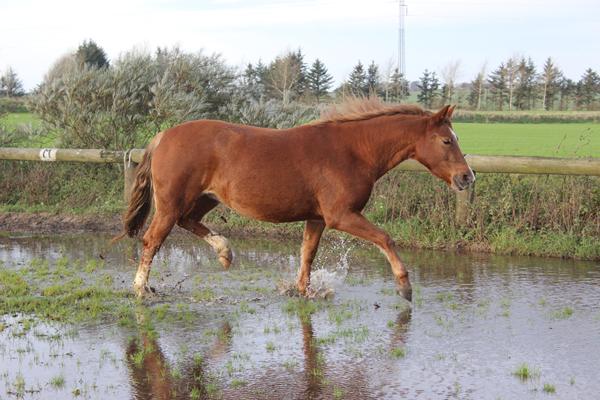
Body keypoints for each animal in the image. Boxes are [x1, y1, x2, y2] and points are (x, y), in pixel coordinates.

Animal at [115, 98, 476, 302]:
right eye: (446, 140)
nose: (467, 177)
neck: (354, 151)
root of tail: (162, 136)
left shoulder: (316, 218)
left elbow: (307, 255)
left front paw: (303, 291)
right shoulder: (341, 215)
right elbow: (385, 238)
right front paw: (404, 287)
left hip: (206, 198)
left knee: (188, 222)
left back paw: (225, 253)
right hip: (172, 202)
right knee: (152, 240)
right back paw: (142, 289)